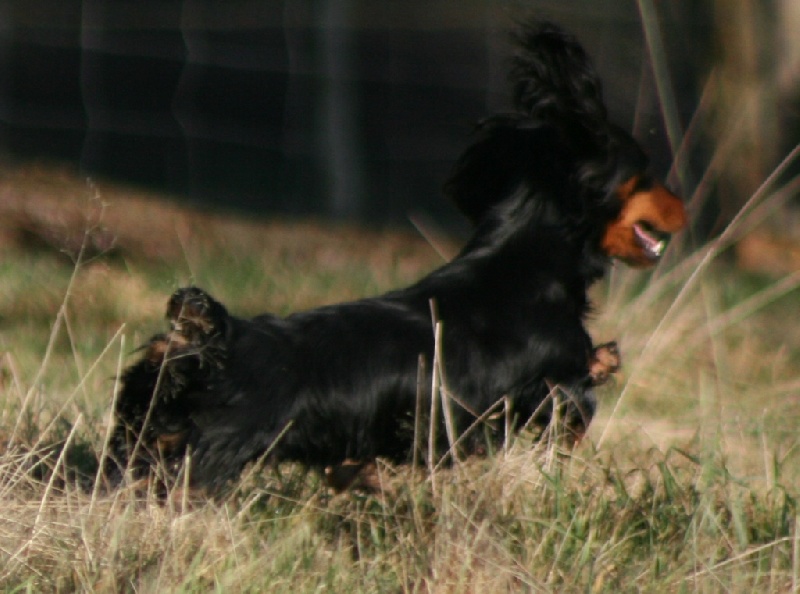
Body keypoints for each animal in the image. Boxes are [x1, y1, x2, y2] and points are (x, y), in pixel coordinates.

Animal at [103, 20, 684, 492]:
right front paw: (606, 361)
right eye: (646, 171)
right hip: (206, 459)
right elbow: (579, 400)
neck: (522, 260)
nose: (681, 205)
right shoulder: (553, 391)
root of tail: (207, 341)